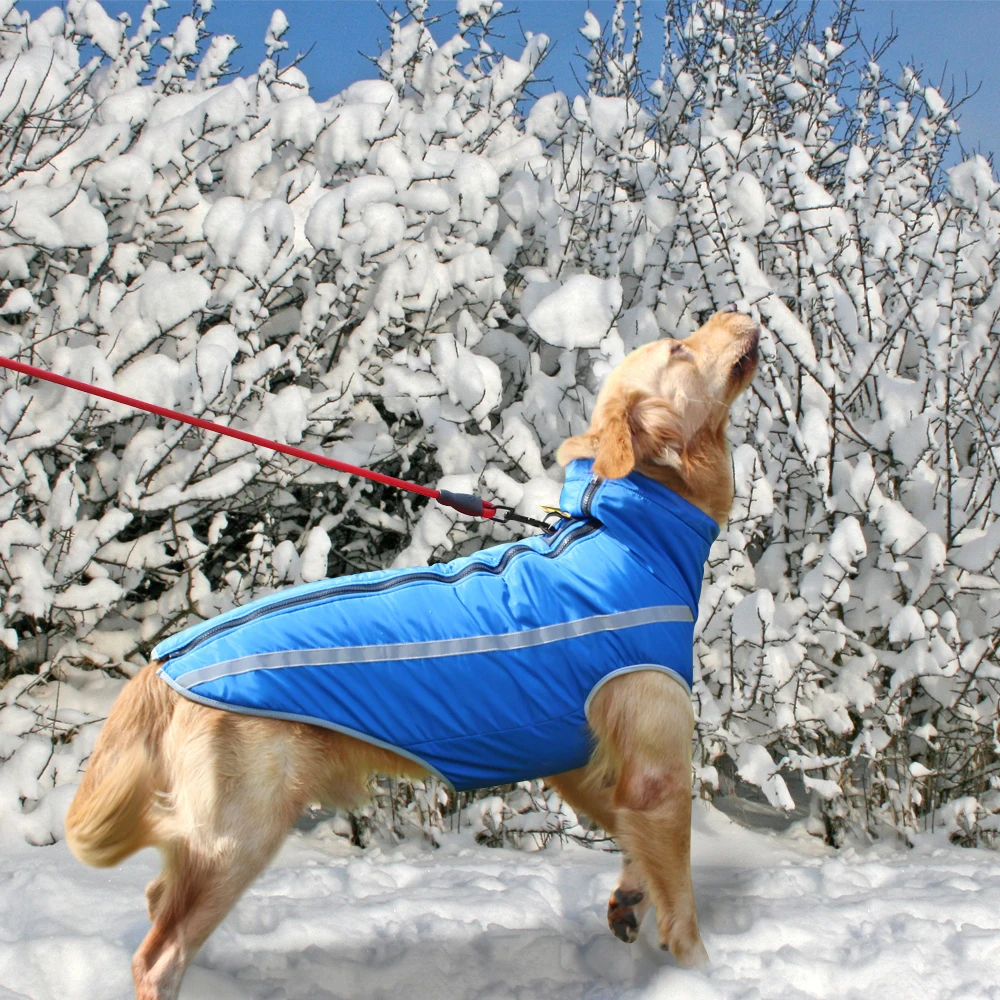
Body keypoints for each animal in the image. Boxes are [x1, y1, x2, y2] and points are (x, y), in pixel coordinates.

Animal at [66, 308, 760, 996]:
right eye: (678, 348)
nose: (739, 313)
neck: (622, 533)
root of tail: (165, 662)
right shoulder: (657, 771)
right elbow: (681, 902)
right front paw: (705, 973)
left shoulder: (582, 762)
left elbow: (631, 840)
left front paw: (630, 898)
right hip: (239, 835)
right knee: (159, 952)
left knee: (158, 899)